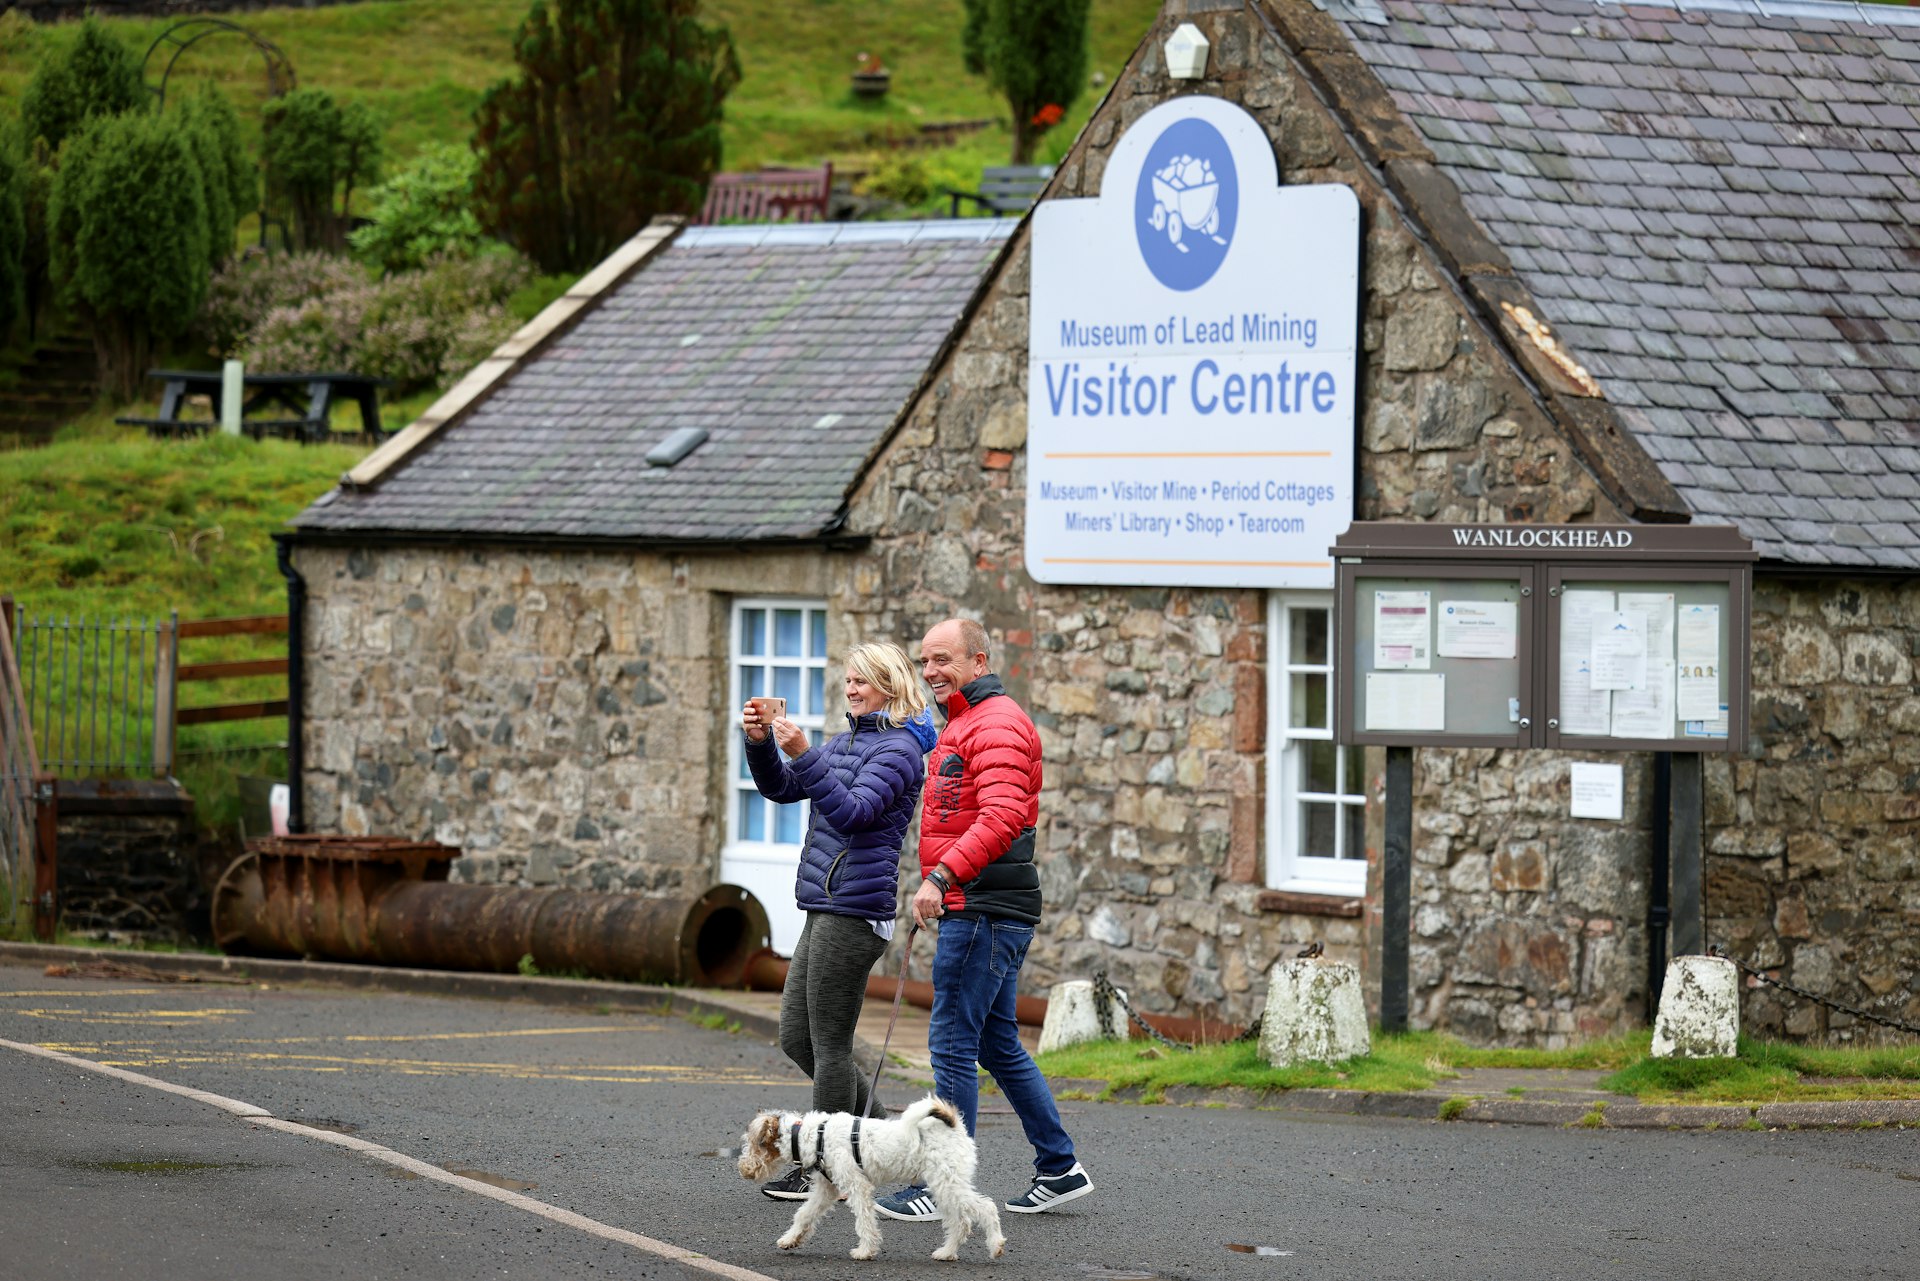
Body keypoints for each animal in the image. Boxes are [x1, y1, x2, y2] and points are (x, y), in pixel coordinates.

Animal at [733, 1090, 1006, 1259]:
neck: (814, 1135)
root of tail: (955, 1125)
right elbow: (804, 1214)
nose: (743, 1169)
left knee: (986, 1208)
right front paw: (790, 1239)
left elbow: (864, 1222)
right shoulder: (826, 1190)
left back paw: (995, 1245)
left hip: (948, 1185)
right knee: (961, 1223)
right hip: (943, 1188)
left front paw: (865, 1251)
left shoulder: (857, 1187)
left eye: (755, 1144)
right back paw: (946, 1253)